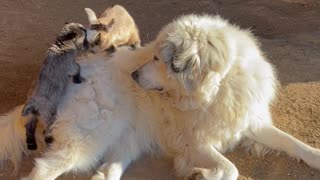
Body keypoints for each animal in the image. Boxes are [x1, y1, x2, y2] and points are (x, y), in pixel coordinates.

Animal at [1, 14, 320, 180]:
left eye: (157, 58)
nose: (133, 76)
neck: (218, 87)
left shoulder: (248, 122)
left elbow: (290, 142)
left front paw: (314, 156)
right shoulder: (192, 141)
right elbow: (230, 168)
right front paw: (201, 174)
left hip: (126, 138)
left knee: (108, 170)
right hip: (88, 140)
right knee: (44, 169)